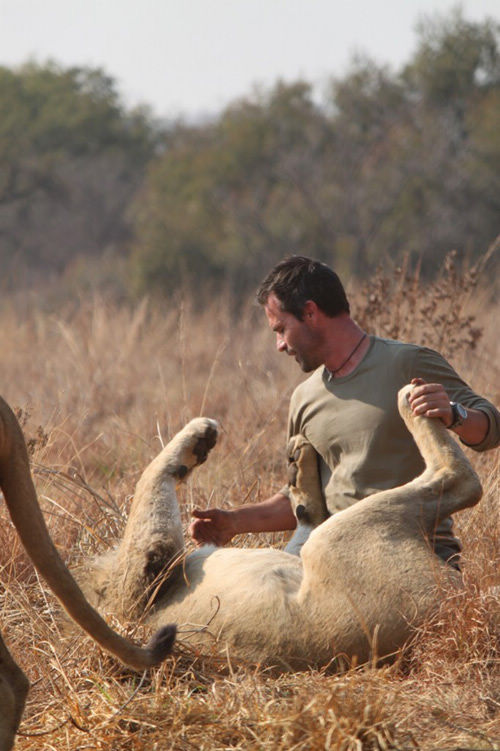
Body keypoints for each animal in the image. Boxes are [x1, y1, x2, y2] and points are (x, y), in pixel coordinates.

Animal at [80, 388, 482, 668]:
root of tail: (448, 614)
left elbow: (303, 515)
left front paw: (299, 462)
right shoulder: (145, 574)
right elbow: (148, 479)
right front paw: (199, 434)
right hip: (345, 535)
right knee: (461, 479)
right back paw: (413, 398)